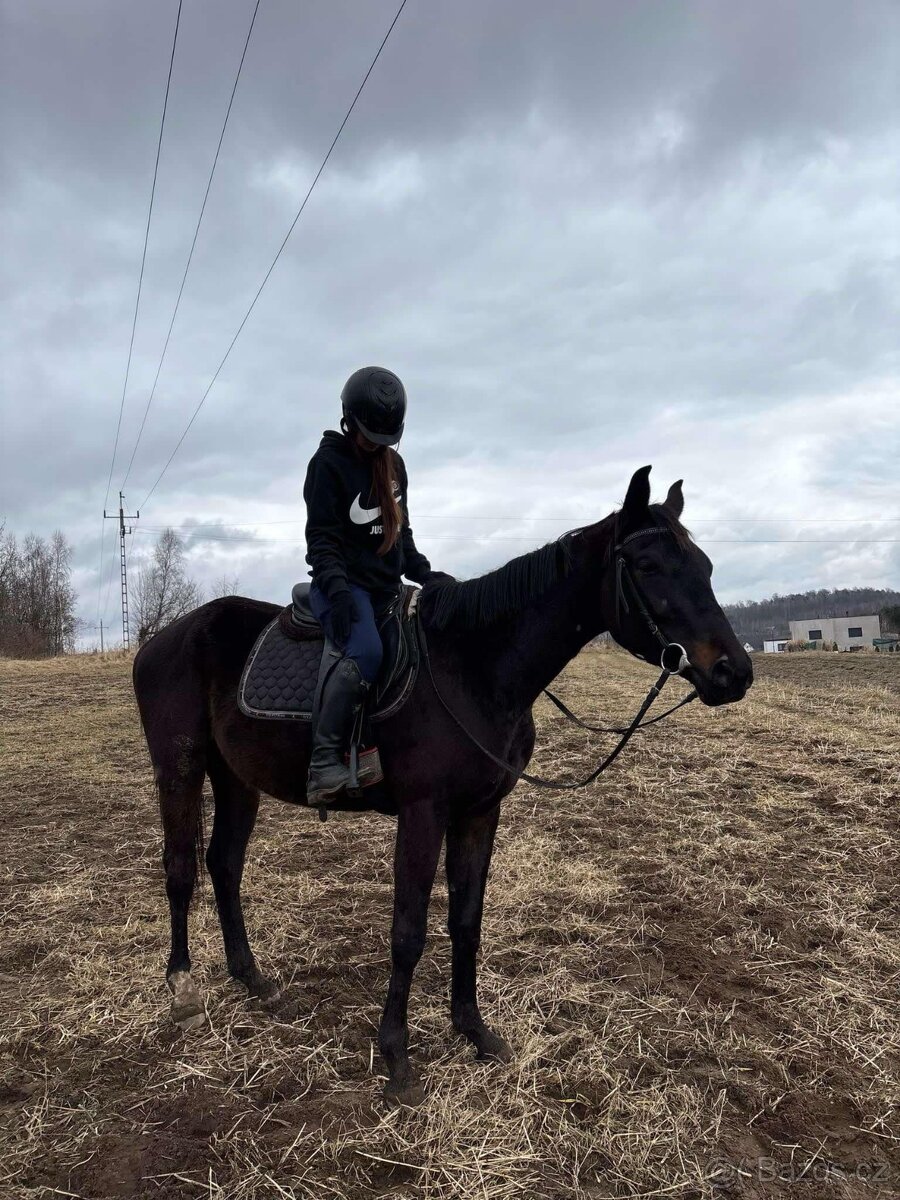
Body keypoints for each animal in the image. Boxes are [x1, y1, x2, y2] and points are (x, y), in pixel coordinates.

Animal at [133, 463, 753, 1099]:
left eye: (704, 565)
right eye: (649, 566)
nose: (734, 672)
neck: (474, 668)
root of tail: (164, 637)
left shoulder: (479, 812)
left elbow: (466, 921)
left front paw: (474, 1031)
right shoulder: (423, 813)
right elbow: (407, 933)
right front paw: (397, 1058)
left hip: (237, 780)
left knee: (224, 865)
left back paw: (252, 978)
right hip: (179, 769)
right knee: (180, 870)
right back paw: (183, 989)